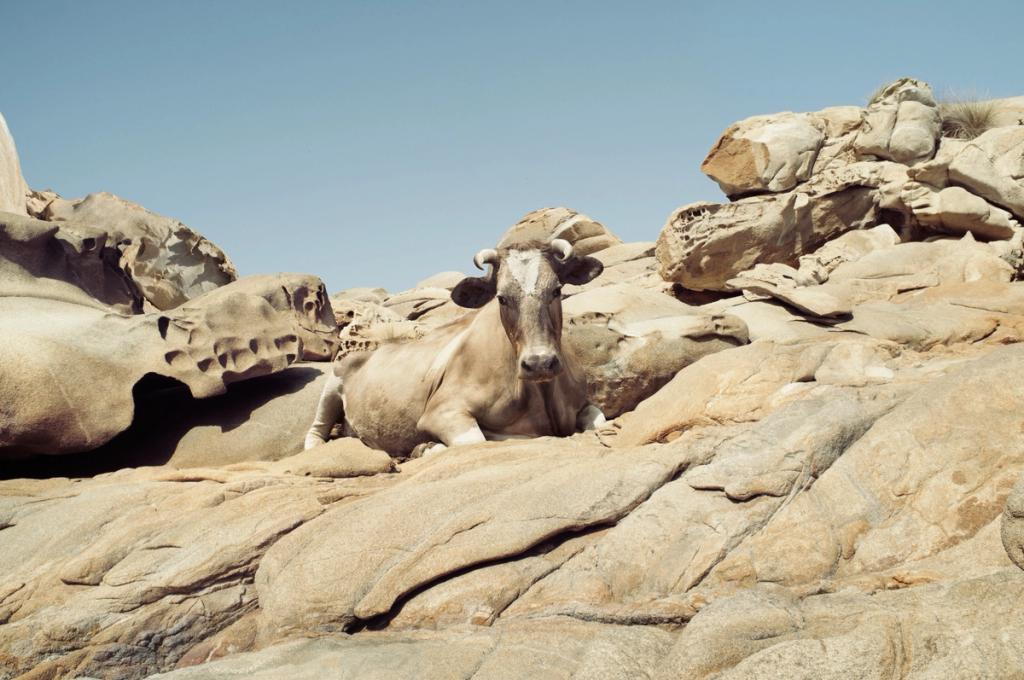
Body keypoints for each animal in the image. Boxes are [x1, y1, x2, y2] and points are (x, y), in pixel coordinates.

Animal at [304, 238, 607, 456]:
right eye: (501, 297)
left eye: (556, 290)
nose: (540, 363)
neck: (542, 395)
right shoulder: (441, 411)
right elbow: (477, 439)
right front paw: (426, 447)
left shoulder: (582, 403)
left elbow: (600, 419)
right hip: (332, 383)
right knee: (314, 432)